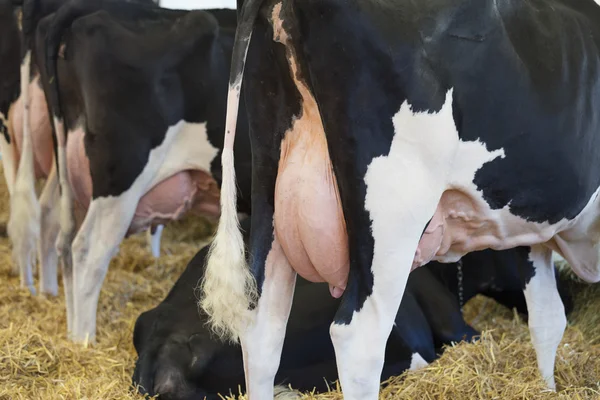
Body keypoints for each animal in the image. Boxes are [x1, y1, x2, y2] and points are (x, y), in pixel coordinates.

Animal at [36, 0, 250, 344]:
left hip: (70, 174)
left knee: (64, 242)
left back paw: (72, 334)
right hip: (121, 177)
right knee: (86, 252)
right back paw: (85, 341)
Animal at [200, 0, 600, 396]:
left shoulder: (530, 232)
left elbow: (546, 319)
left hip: (271, 183)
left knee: (262, 327)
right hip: (393, 212)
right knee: (358, 340)